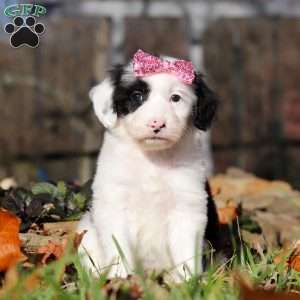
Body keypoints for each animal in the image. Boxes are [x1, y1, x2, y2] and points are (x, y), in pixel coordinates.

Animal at [77, 49, 218, 282]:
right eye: (137, 96)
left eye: (175, 98)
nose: (156, 124)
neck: (153, 159)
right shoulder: (114, 204)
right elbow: (118, 248)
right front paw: (120, 279)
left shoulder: (187, 207)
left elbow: (186, 252)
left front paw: (188, 283)